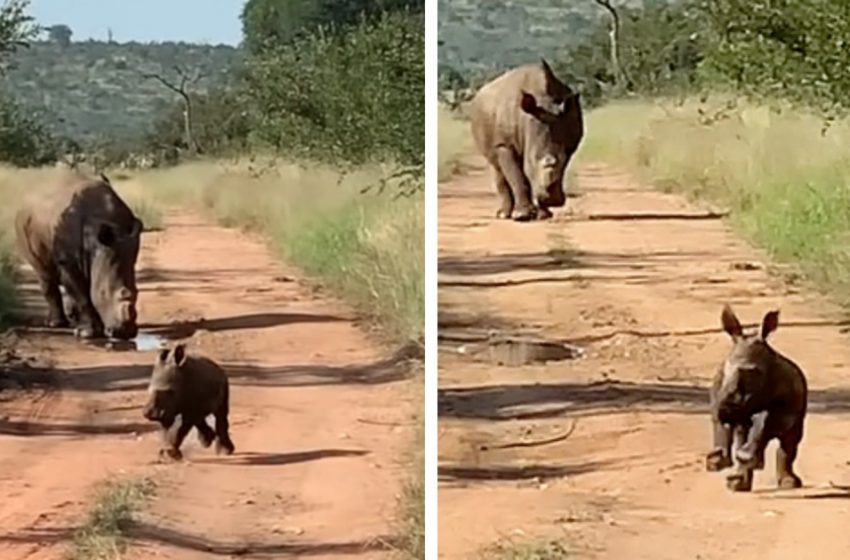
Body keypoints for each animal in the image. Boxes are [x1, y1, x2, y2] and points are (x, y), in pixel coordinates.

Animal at [14, 173, 143, 340]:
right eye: (103, 292)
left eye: (137, 292)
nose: (124, 333)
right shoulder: (68, 261)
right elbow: (82, 295)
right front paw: (88, 334)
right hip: (23, 227)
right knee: (43, 272)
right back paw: (56, 324)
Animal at [470, 58, 584, 221]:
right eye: (532, 160)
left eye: (564, 159)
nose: (553, 201)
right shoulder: (504, 144)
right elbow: (517, 176)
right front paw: (522, 216)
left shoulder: (569, 144)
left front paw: (543, 215)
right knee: (497, 167)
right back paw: (504, 215)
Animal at [704, 304, 804, 492]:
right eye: (725, 369)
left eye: (754, 372)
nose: (726, 409)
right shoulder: (720, 390)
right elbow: (722, 421)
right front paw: (718, 460)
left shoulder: (785, 404)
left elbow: (765, 421)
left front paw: (749, 459)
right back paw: (734, 479)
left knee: (790, 440)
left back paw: (788, 483)